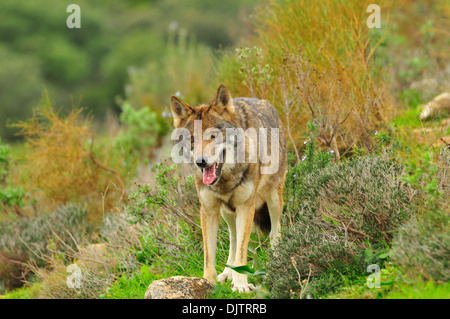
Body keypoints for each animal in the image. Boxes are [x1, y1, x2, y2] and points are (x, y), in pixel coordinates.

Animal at [171, 85, 286, 292]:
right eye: (192, 140)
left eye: (213, 136)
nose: (200, 162)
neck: (225, 180)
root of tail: (266, 103)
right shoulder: (208, 210)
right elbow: (210, 254)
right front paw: (208, 282)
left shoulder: (246, 207)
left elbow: (242, 249)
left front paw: (241, 284)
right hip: (227, 213)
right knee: (233, 239)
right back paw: (227, 273)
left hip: (273, 201)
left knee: (275, 230)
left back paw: (277, 259)